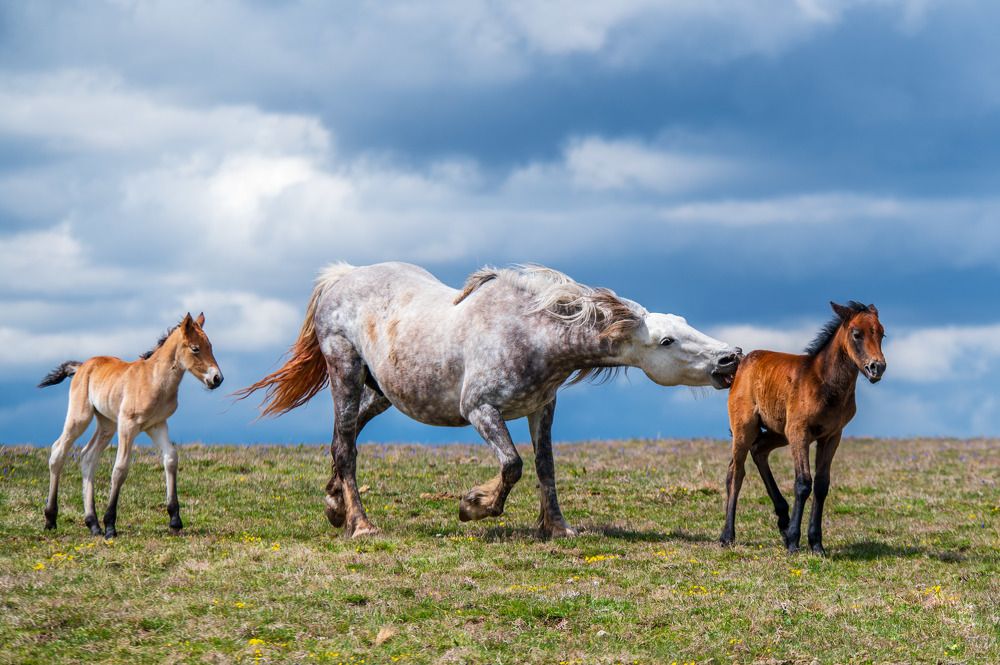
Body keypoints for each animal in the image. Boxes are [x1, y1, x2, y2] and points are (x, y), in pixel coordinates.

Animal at [39, 313, 224, 538]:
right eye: (195, 348)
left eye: (210, 346)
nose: (217, 378)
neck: (155, 380)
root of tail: (81, 366)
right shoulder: (128, 425)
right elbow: (120, 468)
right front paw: (110, 525)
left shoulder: (157, 424)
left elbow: (171, 459)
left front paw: (175, 520)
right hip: (80, 417)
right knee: (58, 451)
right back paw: (51, 519)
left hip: (107, 424)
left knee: (88, 456)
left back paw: (93, 524)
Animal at [237, 262, 742, 538]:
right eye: (667, 341)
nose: (730, 358)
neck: (533, 333)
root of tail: (342, 277)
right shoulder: (481, 411)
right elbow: (513, 464)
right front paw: (474, 506)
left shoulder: (542, 408)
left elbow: (544, 467)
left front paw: (557, 528)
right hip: (345, 371)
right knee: (346, 446)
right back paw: (361, 524)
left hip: (382, 393)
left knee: (345, 438)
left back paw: (334, 505)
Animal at [719, 301, 886, 554]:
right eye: (857, 334)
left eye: (882, 334)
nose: (877, 367)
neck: (824, 382)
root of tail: (743, 362)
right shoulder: (800, 433)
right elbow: (803, 483)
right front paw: (794, 543)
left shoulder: (831, 436)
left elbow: (822, 485)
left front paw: (816, 543)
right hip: (745, 428)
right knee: (735, 473)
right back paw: (728, 536)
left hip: (778, 432)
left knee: (759, 450)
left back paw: (783, 521)